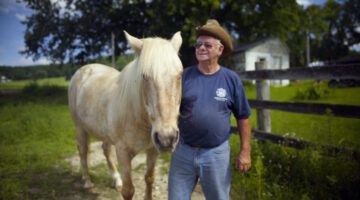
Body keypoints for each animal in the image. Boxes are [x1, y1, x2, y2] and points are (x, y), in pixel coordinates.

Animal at [68, 31, 183, 200]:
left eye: (180, 74)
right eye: (144, 76)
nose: (167, 138)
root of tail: (83, 69)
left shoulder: (153, 150)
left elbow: (149, 178)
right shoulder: (123, 152)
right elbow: (128, 190)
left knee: (106, 150)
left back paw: (116, 180)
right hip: (79, 128)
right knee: (83, 151)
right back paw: (87, 182)